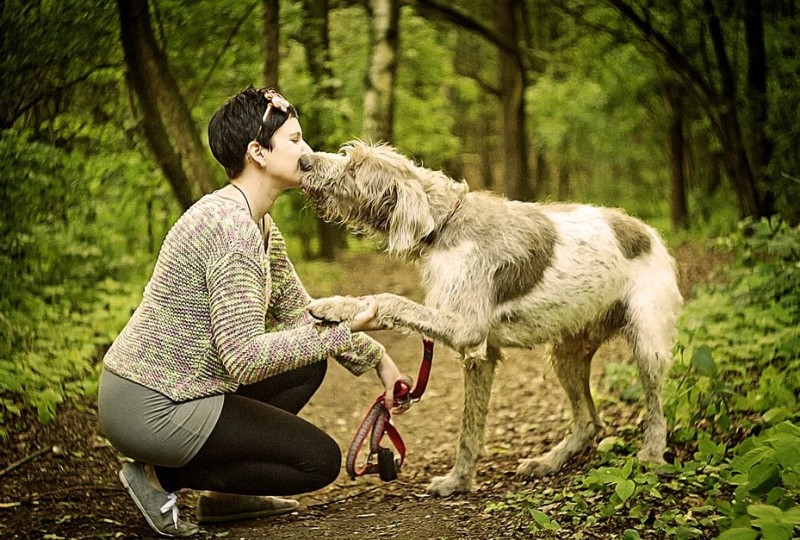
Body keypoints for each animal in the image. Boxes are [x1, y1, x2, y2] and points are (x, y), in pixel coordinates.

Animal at [296, 141, 684, 496]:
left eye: (354, 167)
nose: (303, 161)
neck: (444, 223)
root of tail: (648, 232)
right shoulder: (480, 357)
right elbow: (470, 427)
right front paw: (458, 481)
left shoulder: (467, 330)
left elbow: (391, 299)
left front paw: (337, 306)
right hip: (567, 354)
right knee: (589, 421)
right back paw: (548, 461)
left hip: (647, 344)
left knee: (655, 408)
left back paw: (651, 455)